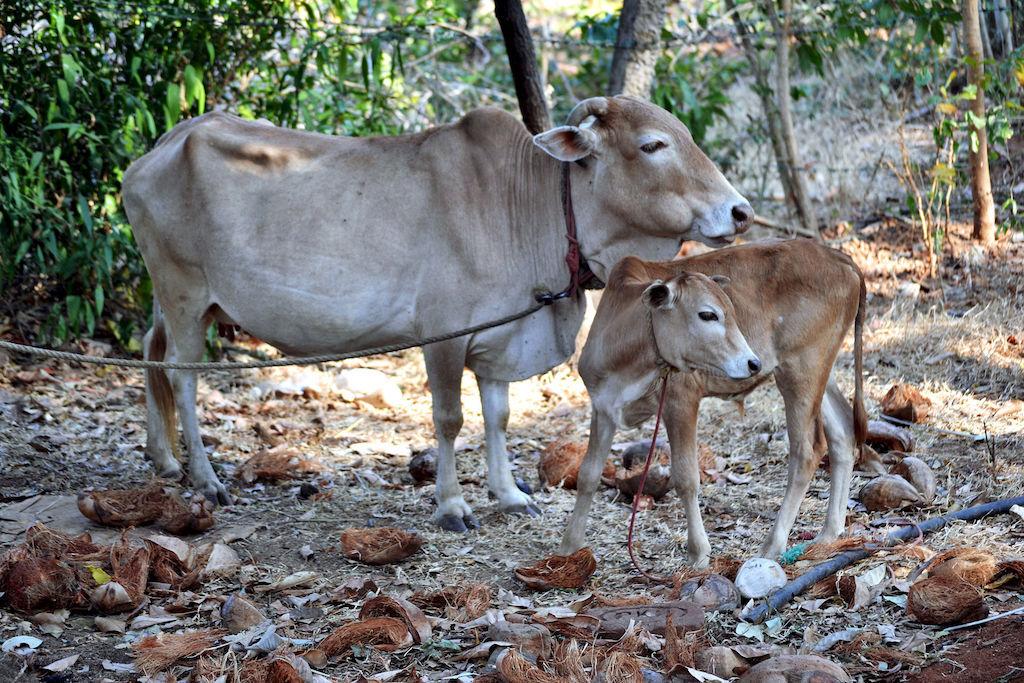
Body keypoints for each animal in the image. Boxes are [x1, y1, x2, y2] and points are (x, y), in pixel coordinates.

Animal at [121, 95, 754, 531]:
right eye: (653, 146)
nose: (741, 211)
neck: (536, 207)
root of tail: (167, 141)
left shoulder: (502, 340)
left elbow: (497, 418)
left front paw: (509, 495)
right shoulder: (445, 337)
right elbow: (450, 420)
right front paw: (452, 506)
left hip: (177, 299)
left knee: (151, 355)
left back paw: (164, 460)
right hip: (183, 292)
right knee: (180, 375)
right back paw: (205, 480)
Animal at [561, 239, 866, 566]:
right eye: (707, 314)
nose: (753, 363)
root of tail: (839, 257)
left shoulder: (681, 401)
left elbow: (686, 477)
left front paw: (698, 552)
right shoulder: (602, 407)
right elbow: (588, 474)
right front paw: (570, 545)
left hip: (800, 369)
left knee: (806, 453)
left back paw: (773, 544)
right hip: (821, 369)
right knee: (842, 433)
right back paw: (829, 533)